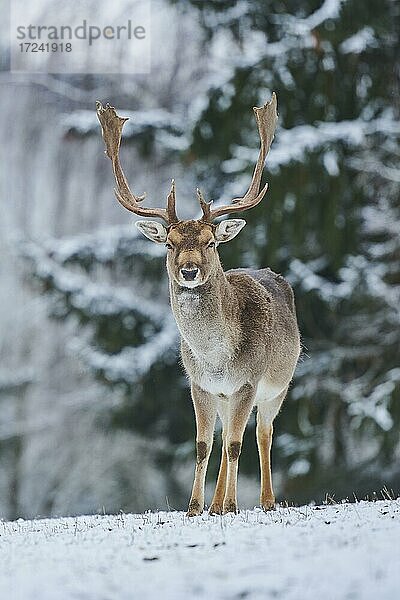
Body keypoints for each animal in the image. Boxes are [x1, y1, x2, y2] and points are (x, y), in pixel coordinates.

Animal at [96, 94, 300, 516]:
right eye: (170, 244)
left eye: (210, 242)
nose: (189, 270)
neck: (218, 358)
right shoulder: (200, 385)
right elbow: (204, 444)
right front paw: (194, 506)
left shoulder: (248, 382)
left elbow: (237, 444)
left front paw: (234, 505)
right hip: (227, 398)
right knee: (225, 439)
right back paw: (216, 504)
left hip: (278, 386)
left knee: (263, 433)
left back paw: (266, 501)